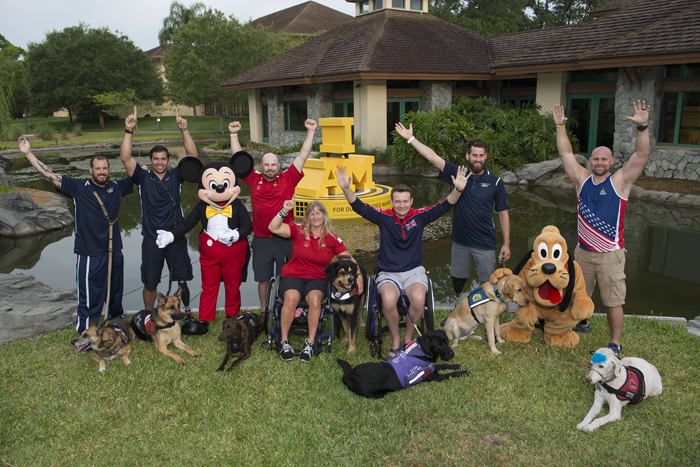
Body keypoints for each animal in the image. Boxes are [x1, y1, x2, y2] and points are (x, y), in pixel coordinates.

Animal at [336, 330, 468, 398]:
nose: (452, 353)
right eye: (439, 345)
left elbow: (444, 366)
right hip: (379, 393)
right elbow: (451, 374)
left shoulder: (432, 368)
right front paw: (464, 372)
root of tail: (349, 376)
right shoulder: (435, 377)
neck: (420, 350)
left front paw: (455, 365)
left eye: (446, 341)